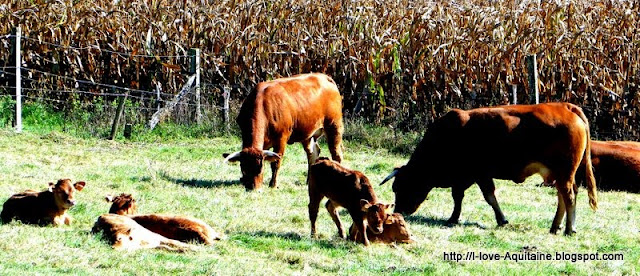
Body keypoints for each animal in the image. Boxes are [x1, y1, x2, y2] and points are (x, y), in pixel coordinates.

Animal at [380, 102, 596, 236]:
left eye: (400, 187)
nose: (399, 212)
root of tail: (564, 106)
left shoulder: (478, 174)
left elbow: (486, 197)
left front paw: (498, 219)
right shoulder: (466, 177)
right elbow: (462, 197)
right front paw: (456, 217)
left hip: (564, 173)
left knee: (569, 196)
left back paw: (569, 228)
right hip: (560, 174)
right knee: (563, 196)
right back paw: (555, 226)